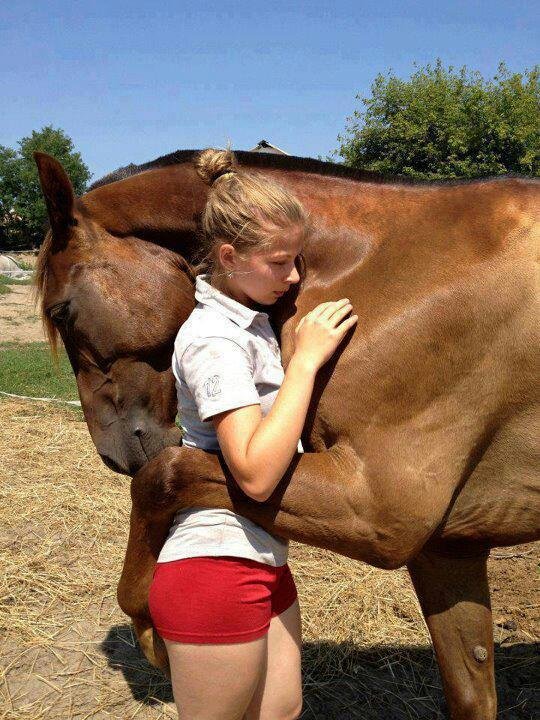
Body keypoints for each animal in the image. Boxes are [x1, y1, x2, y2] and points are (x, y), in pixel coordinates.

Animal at [34, 149, 539, 720]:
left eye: (60, 310)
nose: (114, 453)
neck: (395, 270)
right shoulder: (447, 547)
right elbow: (471, 688)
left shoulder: (381, 512)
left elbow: (163, 477)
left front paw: (149, 626)